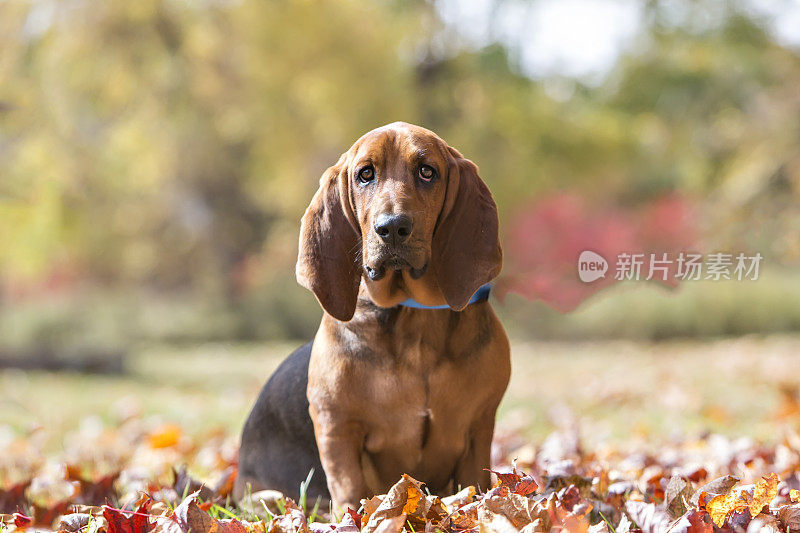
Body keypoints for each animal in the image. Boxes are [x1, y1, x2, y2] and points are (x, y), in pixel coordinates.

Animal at [238, 122, 510, 510]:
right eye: (365, 174)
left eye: (427, 171)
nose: (392, 227)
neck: (414, 313)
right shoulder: (337, 428)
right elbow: (350, 489)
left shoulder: (479, 428)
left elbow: (476, 487)